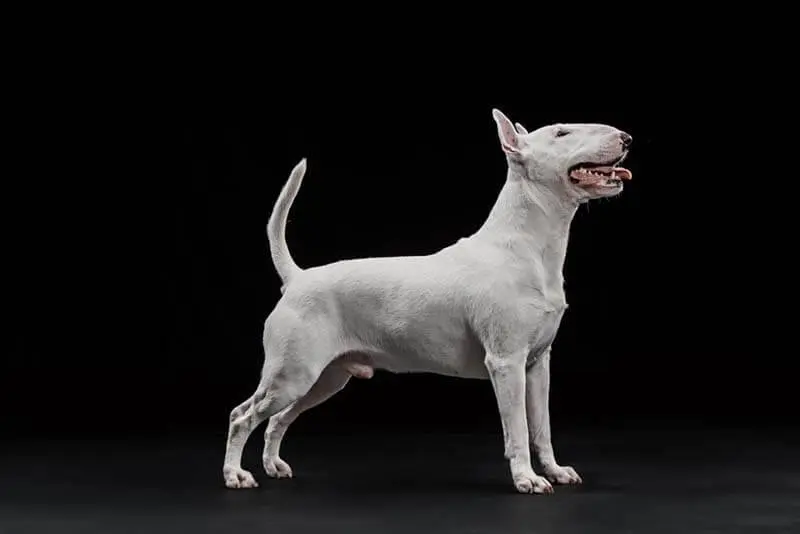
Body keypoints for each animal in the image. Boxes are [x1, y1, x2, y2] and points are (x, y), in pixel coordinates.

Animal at [222, 109, 636, 498]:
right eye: (561, 133)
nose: (626, 138)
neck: (528, 247)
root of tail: (297, 278)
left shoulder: (537, 365)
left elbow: (541, 427)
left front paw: (555, 472)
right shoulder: (507, 363)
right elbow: (518, 428)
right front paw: (527, 479)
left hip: (324, 379)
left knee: (277, 419)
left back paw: (273, 466)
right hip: (292, 374)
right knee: (242, 416)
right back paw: (236, 476)